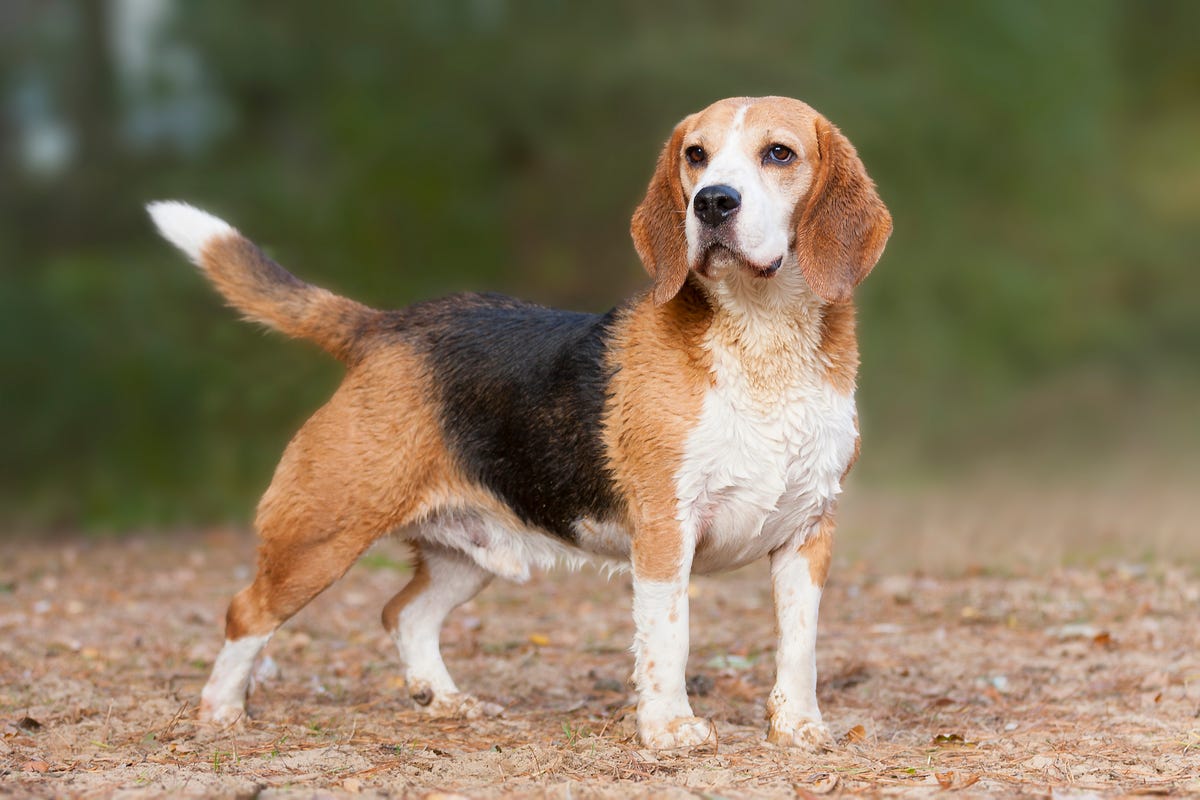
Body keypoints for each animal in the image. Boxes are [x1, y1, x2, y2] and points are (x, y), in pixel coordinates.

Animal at [147, 94, 892, 753]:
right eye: (696, 156)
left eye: (779, 153)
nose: (712, 202)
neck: (763, 340)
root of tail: (389, 325)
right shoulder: (664, 530)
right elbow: (669, 637)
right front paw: (669, 730)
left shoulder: (807, 533)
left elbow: (799, 646)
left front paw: (799, 728)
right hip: (320, 535)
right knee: (247, 612)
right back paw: (221, 713)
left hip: (468, 550)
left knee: (404, 613)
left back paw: (443, 699)